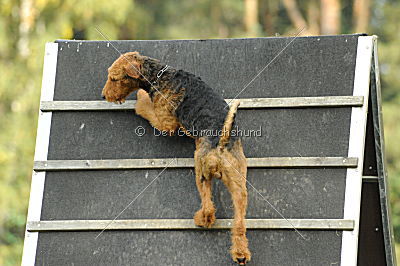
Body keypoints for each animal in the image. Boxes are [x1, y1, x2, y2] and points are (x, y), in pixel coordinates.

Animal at [102, 52, 250, 264]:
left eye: (114, 78)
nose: (104, 95)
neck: (158, 75)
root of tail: (221, 145)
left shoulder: (166, 122)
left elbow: (148, 109)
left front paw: (140, 99)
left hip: (201, 171)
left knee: (208, 208)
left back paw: (200, 219)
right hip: (239, 184)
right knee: (239, 222)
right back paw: (240, 254)